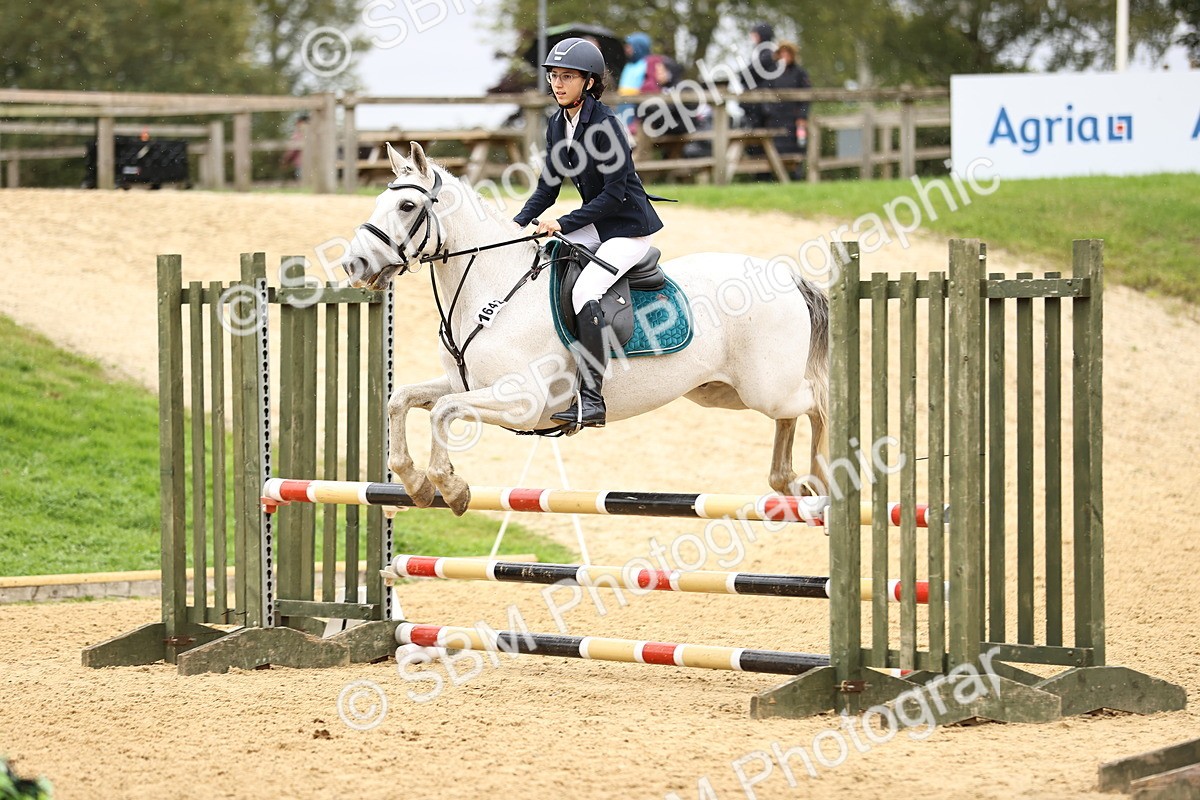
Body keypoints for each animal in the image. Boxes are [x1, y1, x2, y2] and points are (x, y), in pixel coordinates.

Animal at [343, 141, 830, 516]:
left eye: (407, 205)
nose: (353, 264)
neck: (494, 290)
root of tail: (785, 275)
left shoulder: (522, 401)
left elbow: (443, 412)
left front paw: (450, 487)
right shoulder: (465, 385)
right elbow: (402, 400)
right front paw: (417, 483)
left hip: (765, 387)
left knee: (817, 401)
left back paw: (822, 477)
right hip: (721, 392)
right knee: (791, 416)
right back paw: (787, 480)